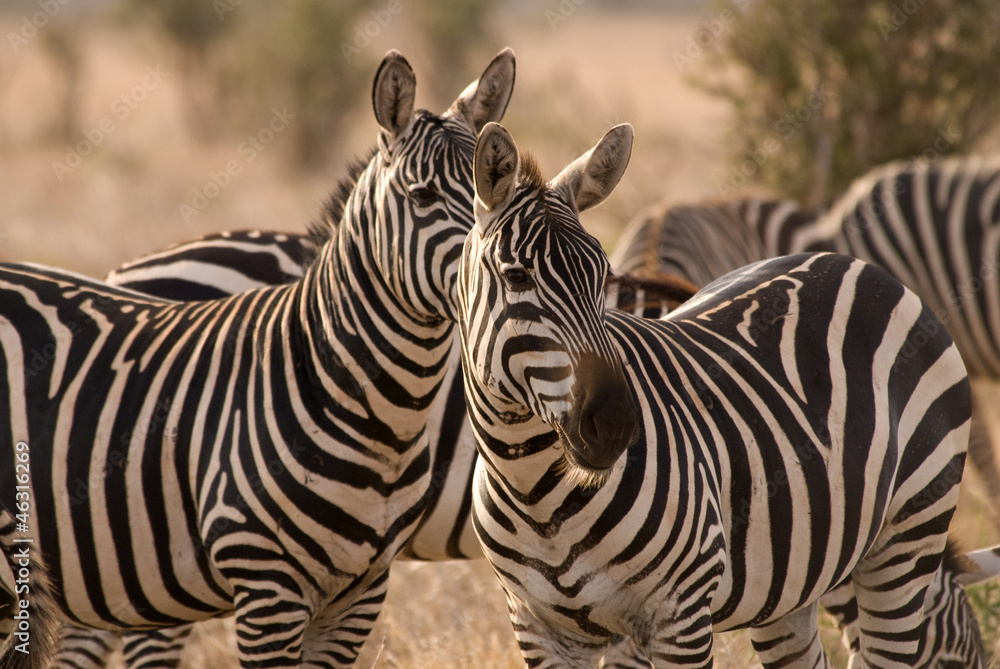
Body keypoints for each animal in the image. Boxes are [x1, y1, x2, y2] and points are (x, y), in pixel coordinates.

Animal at [457, 121, 973, 667]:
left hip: (907, 537)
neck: (536, 494)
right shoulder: (537, 628)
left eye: (602, 276)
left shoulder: (678, 619)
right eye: (517, 276)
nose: (617, 424)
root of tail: (857, 265)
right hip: (790, 582)